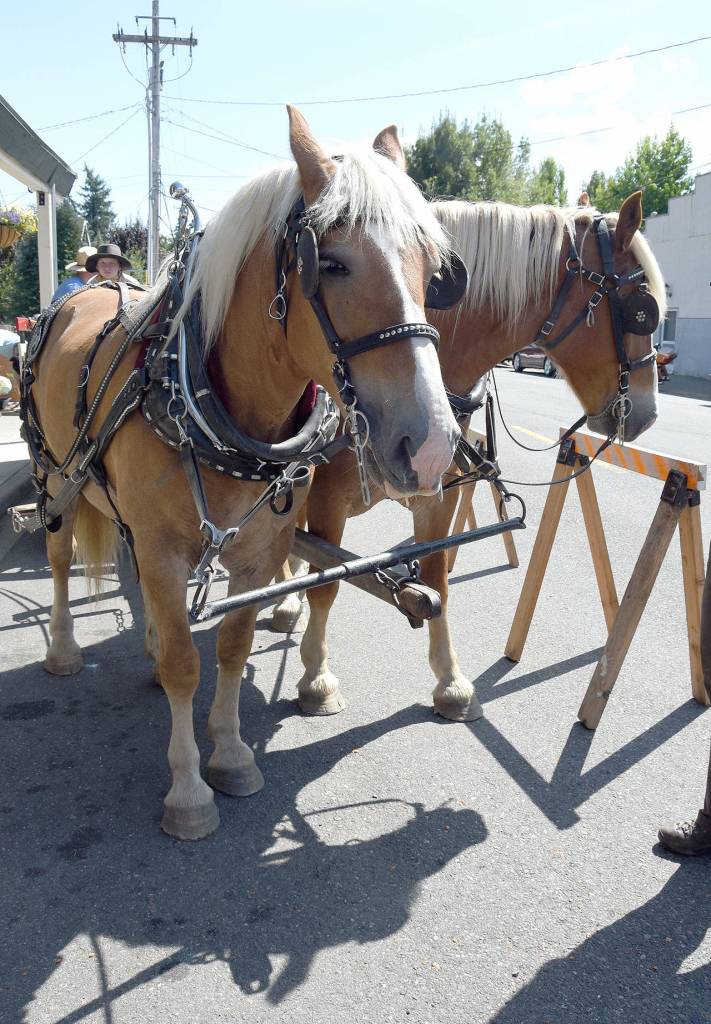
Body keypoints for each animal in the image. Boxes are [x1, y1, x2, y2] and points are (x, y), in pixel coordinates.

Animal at [26, 107, 463, 839]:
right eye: (332, 264)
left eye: (434, 270)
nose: (430, 446)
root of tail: (91, 288)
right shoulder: (166, 548)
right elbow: (186, 663)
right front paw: (188, 790)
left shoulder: (262, 551)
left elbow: (230, 646)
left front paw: (229, 754)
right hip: (55, 474)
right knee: (60, 558)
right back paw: (62, 648)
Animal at [272, 191, 666, 721]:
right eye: (641, 308)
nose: (648, 413)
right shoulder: (329, 499)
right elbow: (326, 581)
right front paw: (316, 677)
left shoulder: (437, 499)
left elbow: (437, 580)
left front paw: (450, 681)